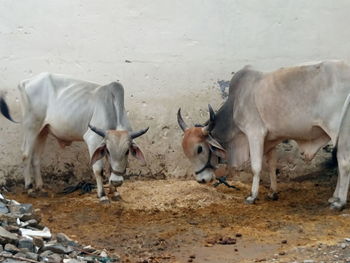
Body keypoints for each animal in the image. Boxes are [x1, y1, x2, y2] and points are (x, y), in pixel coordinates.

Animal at [0, 73, 148, 203]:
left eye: (127, 151)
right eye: (108, 151)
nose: (117, 181)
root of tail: (25, 82)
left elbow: (110, 167)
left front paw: (115, 192)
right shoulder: (93, 140)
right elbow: (98, 169)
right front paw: (102, 195)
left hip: (43, 130)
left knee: (36, 157)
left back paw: (40, 187)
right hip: (31, 126)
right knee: (26, 154)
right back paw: (29, 188)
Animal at [178, 60, 350, 210]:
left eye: (200, 149)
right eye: (186, 153)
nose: (201, 180)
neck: (236, 103)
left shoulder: (254, 132)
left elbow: (256, 167)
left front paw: (252, 196)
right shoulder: (271, 139)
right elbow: (272, 164)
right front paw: (273, 192)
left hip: (338, 130)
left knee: (343, 163)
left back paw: (339, 202)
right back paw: (334, 197)